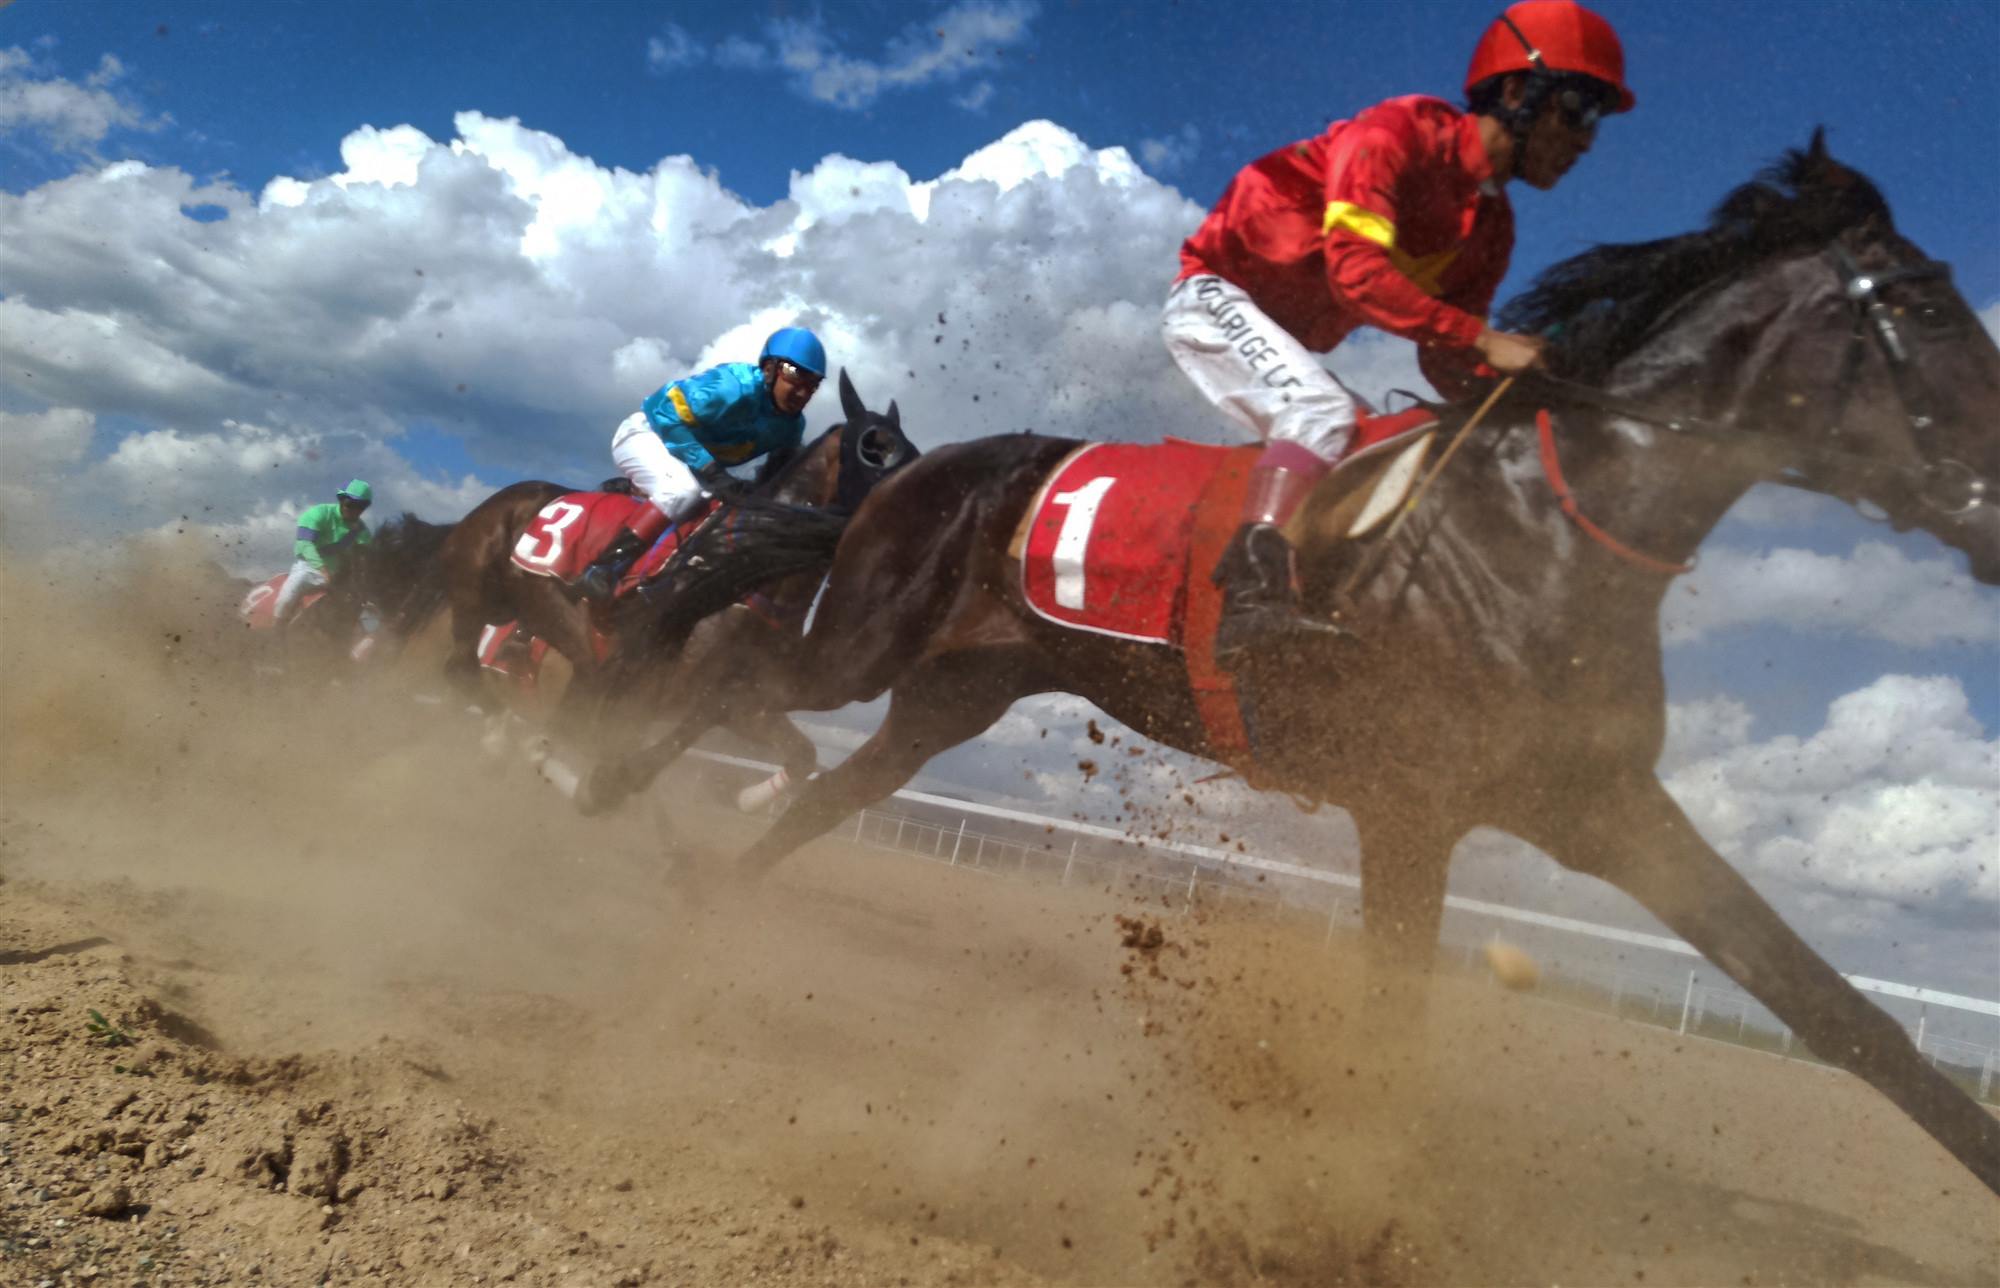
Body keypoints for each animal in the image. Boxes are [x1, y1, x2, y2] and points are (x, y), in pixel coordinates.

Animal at [577, 135, 2000, 1192]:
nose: (1993, 502)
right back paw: (600, 783)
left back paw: (696, 889)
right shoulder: (1411, 806)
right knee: (729, 681)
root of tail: (911, 472)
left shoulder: (1596, 803)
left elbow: (1840, 1012)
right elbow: (1389, 1033)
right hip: (865, 641)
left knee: (825, 787)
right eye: (1926, 305)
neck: (1535, 530)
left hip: (947, 695)